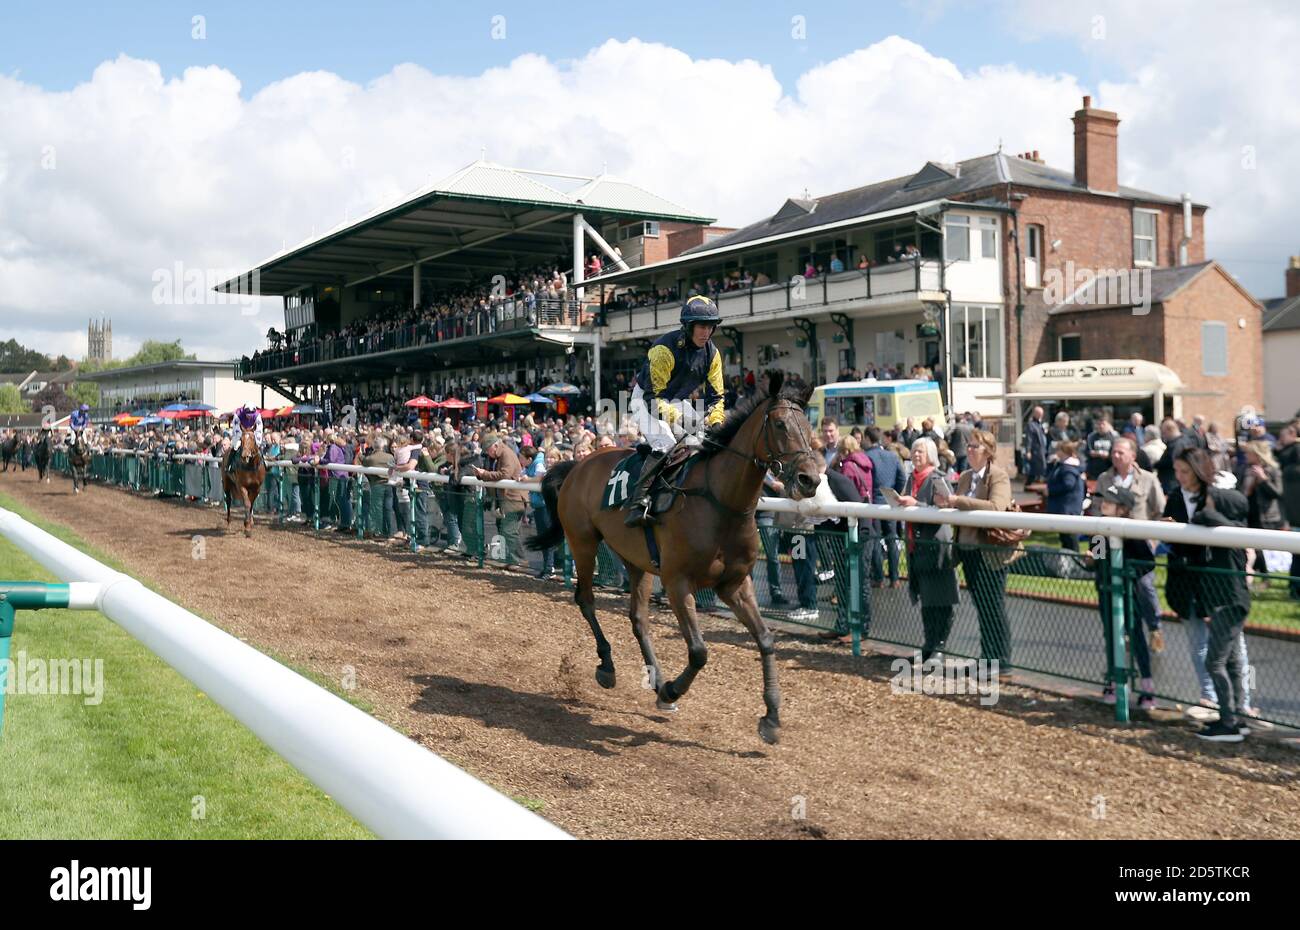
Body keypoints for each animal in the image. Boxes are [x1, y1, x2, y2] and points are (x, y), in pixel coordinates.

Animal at [525, 374, 811, 744]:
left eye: (808, 426)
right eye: (780, 424)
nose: (810, 478)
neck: (720, 500)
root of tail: (579, 464)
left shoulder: (735, 583)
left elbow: (765, 639)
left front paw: (772, 717)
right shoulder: (678, 582)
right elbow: (699, 651)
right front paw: (673, 689)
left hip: (637, 561)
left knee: (638, 618)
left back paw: (655, 679)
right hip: (583, 541)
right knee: (585, 598)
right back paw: (608, 667)